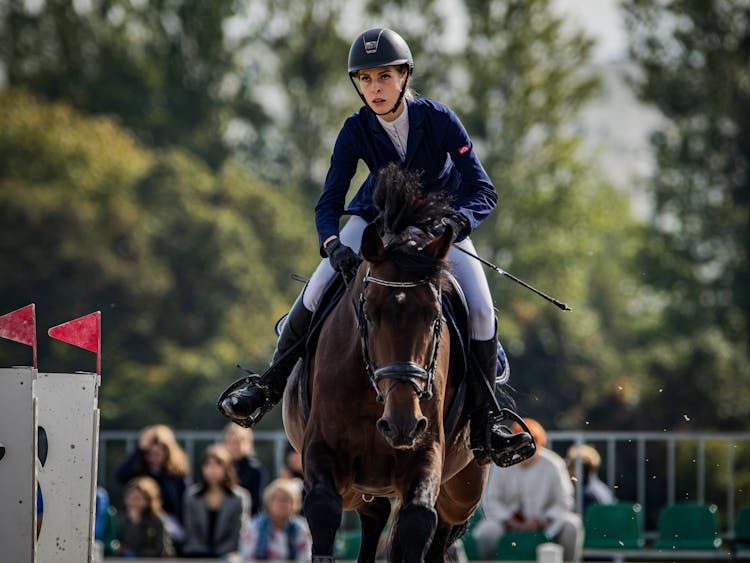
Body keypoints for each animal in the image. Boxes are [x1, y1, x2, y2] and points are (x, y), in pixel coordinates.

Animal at [284, 165, 490, 560]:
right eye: (370, 312)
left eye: (434, 316)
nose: (402, 425)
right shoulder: (322, 453)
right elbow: (323, 510)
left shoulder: (426, 455)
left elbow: (417, 520)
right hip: (360, 486)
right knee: (373, 513)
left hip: (463, 490)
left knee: (440, 532)